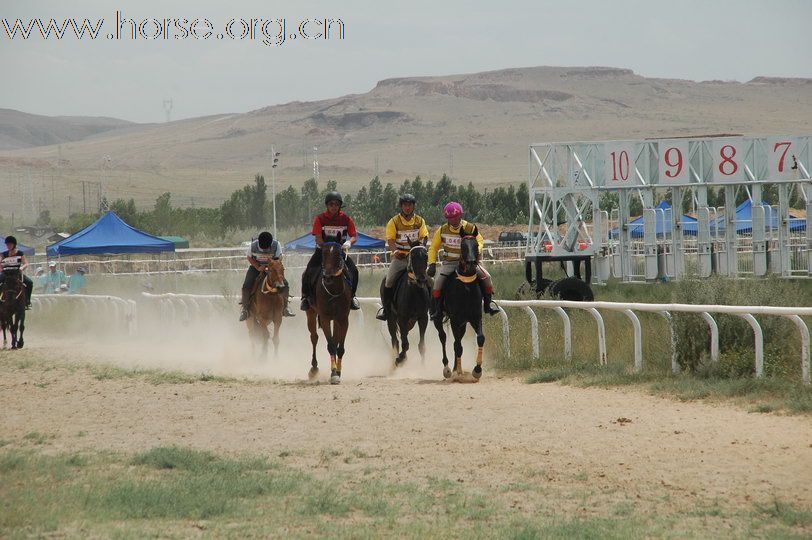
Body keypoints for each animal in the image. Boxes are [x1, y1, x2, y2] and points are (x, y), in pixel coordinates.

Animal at [306, 239, 350, 384]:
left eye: (338, 254)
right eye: (323, 254)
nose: (328, 277)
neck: (333, 291)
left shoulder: (343, 319)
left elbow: (339, 347)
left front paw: (338, 371)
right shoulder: (324, 318)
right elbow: (330, 345)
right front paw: (334, 373)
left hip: (335, 319)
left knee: (335, 340)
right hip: (311, 313)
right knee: (314, 337)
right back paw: (314, 369)